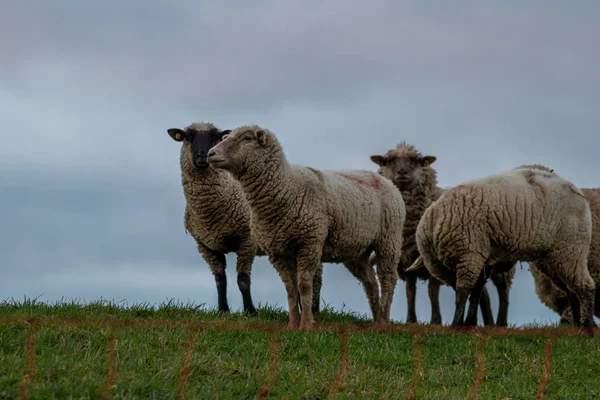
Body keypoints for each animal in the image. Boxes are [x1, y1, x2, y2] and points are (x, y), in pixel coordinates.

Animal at [166, 123, 326, 318]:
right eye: (188, 136)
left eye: (216, 137)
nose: (203, 155)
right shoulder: (205, 246)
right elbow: (220, 279)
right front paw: (223, 310)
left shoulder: (246, 241)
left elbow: (242, 279)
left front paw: (250, 311)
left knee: (315, 276)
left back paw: (313, 310)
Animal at [204, 124, 406, 328]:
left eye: (247, 139)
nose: (210, 153)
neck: (286, 188)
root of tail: (385, 180)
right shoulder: (277, 251)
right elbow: (290, 289)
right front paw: (293, 325)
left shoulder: (309, 243)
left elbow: (305, 286)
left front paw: (307, 325)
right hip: (357, 251)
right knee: (370, 283)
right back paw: (375, 322)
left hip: (389, 239)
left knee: (388, 279)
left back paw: (383, 322)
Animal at [370, 142, 516, 326]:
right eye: (389, 160)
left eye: (416, 160)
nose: (402, 172)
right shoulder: (408, 258)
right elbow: (410, 291)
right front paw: (411, 320)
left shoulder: (432, 258)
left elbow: (432, 290)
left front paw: (435, 320)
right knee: (483, 292)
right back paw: (484, 322)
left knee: (503, 291)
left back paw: (500, 322)